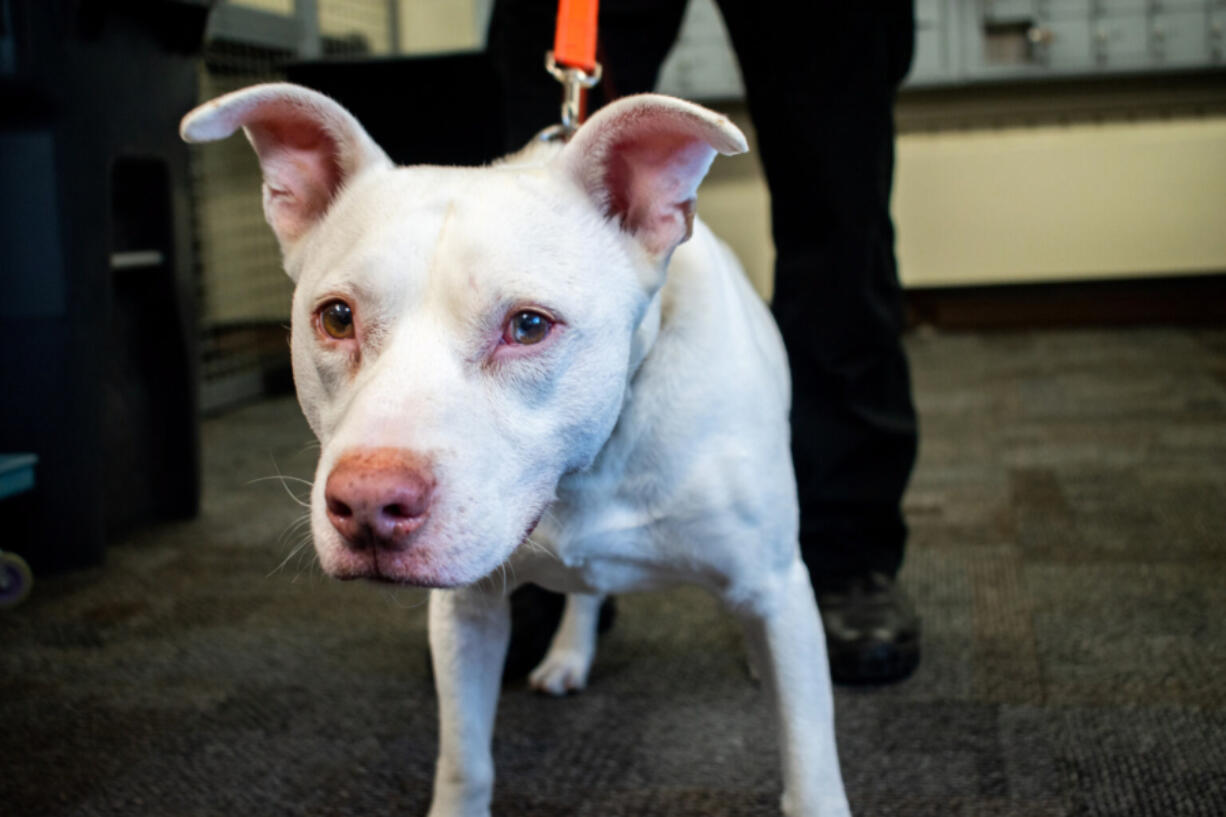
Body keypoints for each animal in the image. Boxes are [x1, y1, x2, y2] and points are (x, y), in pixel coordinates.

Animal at [183, 82, 853, 814]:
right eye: (335, 318)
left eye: (528, 326)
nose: (367, 506)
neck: (586, 469)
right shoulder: (465, 613)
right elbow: (465, 759)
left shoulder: (775, 587)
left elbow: (809, 764)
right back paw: (568, 654)